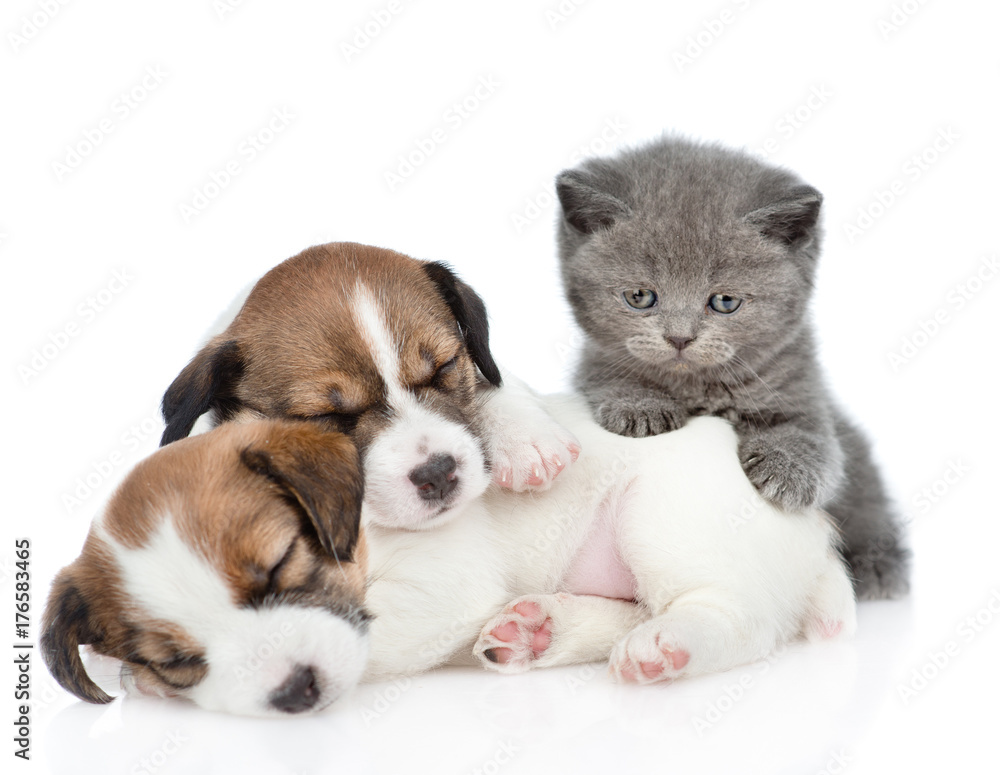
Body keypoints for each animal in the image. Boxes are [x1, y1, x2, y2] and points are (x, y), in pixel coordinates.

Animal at [560, 136, 912, 604]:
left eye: (724, 302)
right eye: (640, 296)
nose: (679, 337)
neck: (699, 388)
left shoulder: (803, 391)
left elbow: (815, 441)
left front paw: (787, 471)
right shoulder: (595, 363)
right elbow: (611, 375)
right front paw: (640, 406)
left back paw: (879, 566)